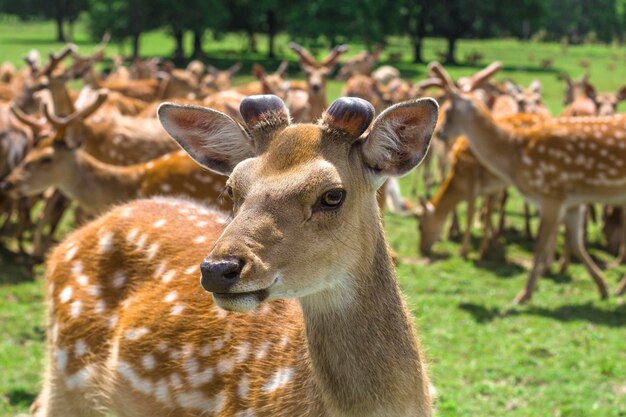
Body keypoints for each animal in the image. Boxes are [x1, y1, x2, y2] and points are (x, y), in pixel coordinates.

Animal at [428, 61, 624, 302]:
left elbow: (539, 244)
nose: (440, 132)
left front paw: (524, 294)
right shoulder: (572, 200)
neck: (515, 154)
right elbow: (576, 242)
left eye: (448, 110)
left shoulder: (551, 194)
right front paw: (602, 286)